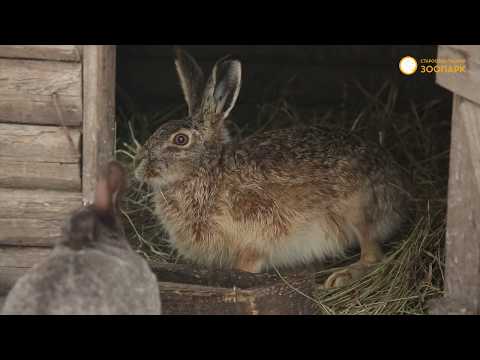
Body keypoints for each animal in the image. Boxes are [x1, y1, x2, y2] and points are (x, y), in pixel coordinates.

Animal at [134, 47, 408, 288]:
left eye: (180, 140)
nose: (139, 168)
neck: (207, 168)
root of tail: (399, 188)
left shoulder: (254, 235)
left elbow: (246, 266)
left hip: (359, 212)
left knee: (374, 256)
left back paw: (341, 277)